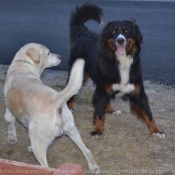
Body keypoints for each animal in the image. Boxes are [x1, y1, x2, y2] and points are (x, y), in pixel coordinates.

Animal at [66, 3, 164, 138]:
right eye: (113, 31)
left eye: (126, 31)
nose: (120, 40)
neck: (121, 61)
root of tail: (83, 34)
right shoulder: (103, 90)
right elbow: (99, 112)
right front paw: (97, 130)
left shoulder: (138, 92)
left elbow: (148, 113)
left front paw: (156, 131)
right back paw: (69, 107)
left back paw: (111, 109)